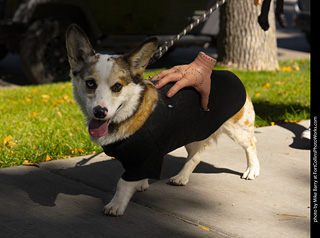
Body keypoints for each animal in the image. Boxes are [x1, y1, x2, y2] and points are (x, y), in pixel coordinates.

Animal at [65, 25, 260, 217]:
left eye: (117, 86)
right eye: (90, 83)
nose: (99, 112)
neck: (130, 111)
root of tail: (232, 75)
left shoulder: (142, 159)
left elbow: (123, 182)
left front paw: (116, 205)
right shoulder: (146, 157)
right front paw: (141, 184)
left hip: (238, 129)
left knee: (251, 145)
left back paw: (252, 170)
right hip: (190, 133)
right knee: (195, 157)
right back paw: (181, 177)